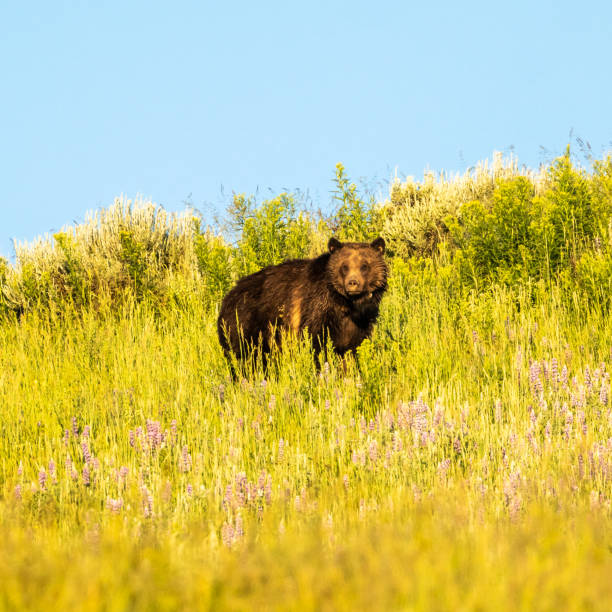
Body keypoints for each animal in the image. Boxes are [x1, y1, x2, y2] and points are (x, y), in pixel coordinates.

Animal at [215, 237, 388, 366]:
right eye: (344, 266)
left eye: (364, 266)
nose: (353, 283)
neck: (345, 304)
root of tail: (228, 297)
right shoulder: (316, 309)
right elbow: (316, 344)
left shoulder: (360, 321)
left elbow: (352, 348)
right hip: (244, 327)